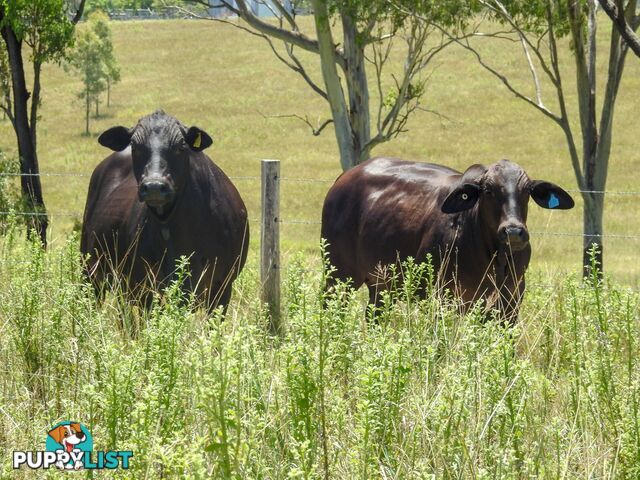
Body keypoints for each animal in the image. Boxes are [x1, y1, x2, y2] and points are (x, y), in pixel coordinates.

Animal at [80, 109, 250, 312]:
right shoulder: (146, 288)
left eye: (181, 145)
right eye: (135, 146)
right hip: (90, 272)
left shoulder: (222, 287)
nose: (154, 186)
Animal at [320, 158, 576, 322]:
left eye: (526, 192)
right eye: (489, 191)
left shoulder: (510, 304)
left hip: (380, 286)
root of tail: (344, 178)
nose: (513, 231)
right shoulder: (443, 299)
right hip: (338, 278)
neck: (495, 258)